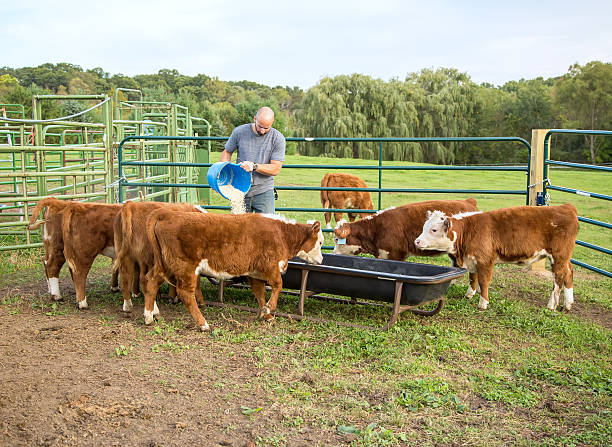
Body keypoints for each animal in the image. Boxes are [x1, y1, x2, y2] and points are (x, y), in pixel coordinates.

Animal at [145, 212, 326, 330]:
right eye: (321, 242)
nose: (321, 260)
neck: (281, 234)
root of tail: (166, 215)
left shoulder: (254, 272)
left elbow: (260, 293)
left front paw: (265, 315)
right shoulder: (270, 266)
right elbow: (278, 285)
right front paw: (269, 309)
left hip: (164, 264)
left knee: (151, 281)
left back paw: (150, 315)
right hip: (185, 267)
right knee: (185, 293)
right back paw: (203, 324)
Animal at [414, 204, 576, 312]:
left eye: (434, 229)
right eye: (423, 227)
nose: (417, 241)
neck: (468, 230)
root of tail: (566, 207)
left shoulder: (485, 260)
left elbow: (483, 281)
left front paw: (483, 303)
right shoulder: (472, 259)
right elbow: (473, 277)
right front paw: (469, 294)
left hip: (558, 257)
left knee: (558, 278)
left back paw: (552, 305)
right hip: (565, 259)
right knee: (569, 272)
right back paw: (567, 303)